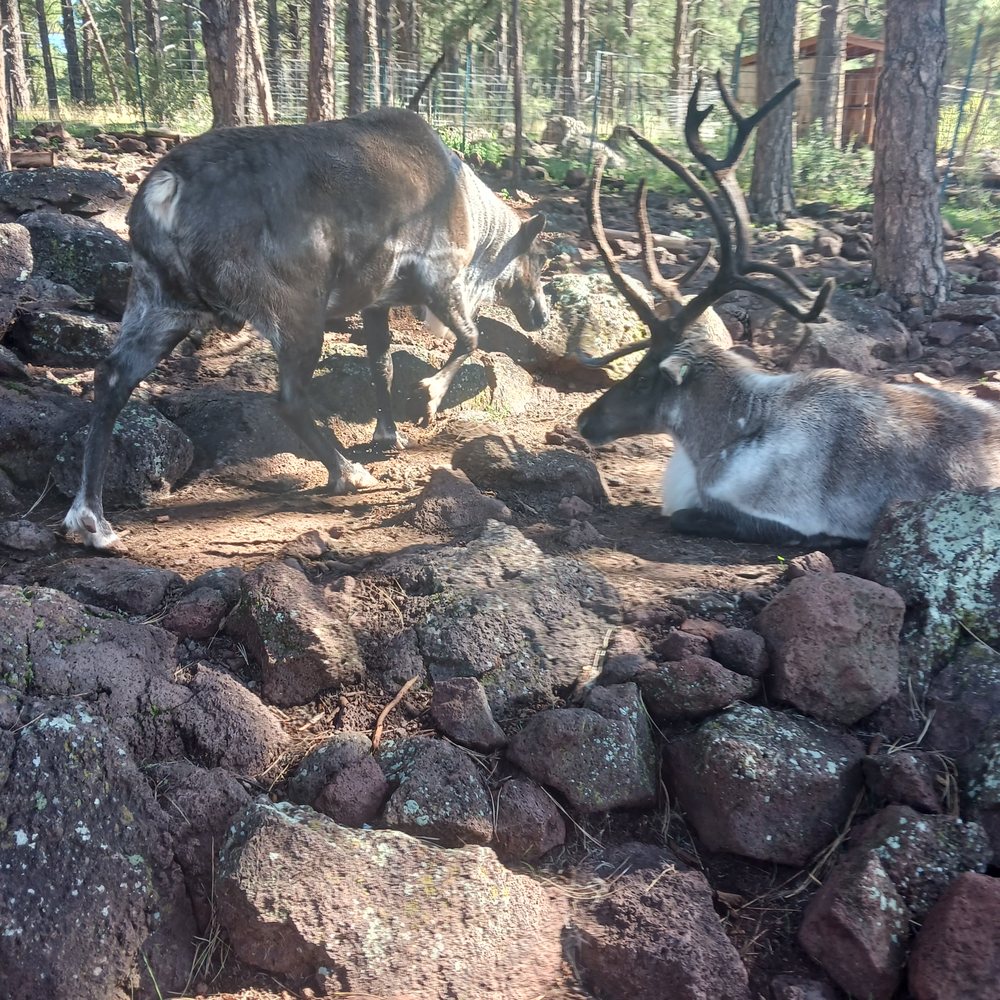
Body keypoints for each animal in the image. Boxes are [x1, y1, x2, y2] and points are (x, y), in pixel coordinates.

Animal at [62, 106, 549, 550]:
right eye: (538, 259)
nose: (542, 317)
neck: (478, 222)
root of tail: (165, 186)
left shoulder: (376, 299)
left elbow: (382, 364)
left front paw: (389, 434)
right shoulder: (439, 275)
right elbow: (471, 338)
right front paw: (428, 399)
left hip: (160, 300)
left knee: (111, 376)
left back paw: (92, 520)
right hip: (295, 308)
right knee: (290, 398)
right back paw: (347, 472)